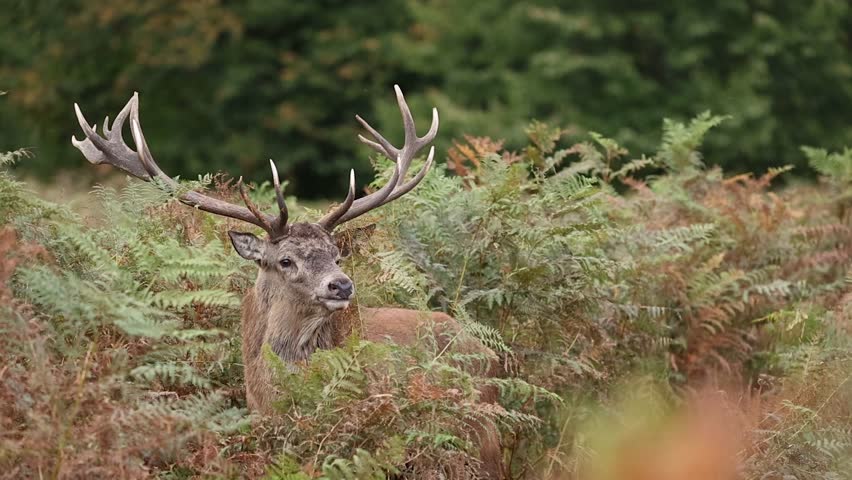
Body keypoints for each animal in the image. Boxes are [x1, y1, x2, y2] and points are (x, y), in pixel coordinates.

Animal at [72, 86, 505, 479]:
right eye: (285, 260)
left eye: (337, 255)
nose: (341, 285)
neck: (272, 395)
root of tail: (487, 353)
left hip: (483, 434)